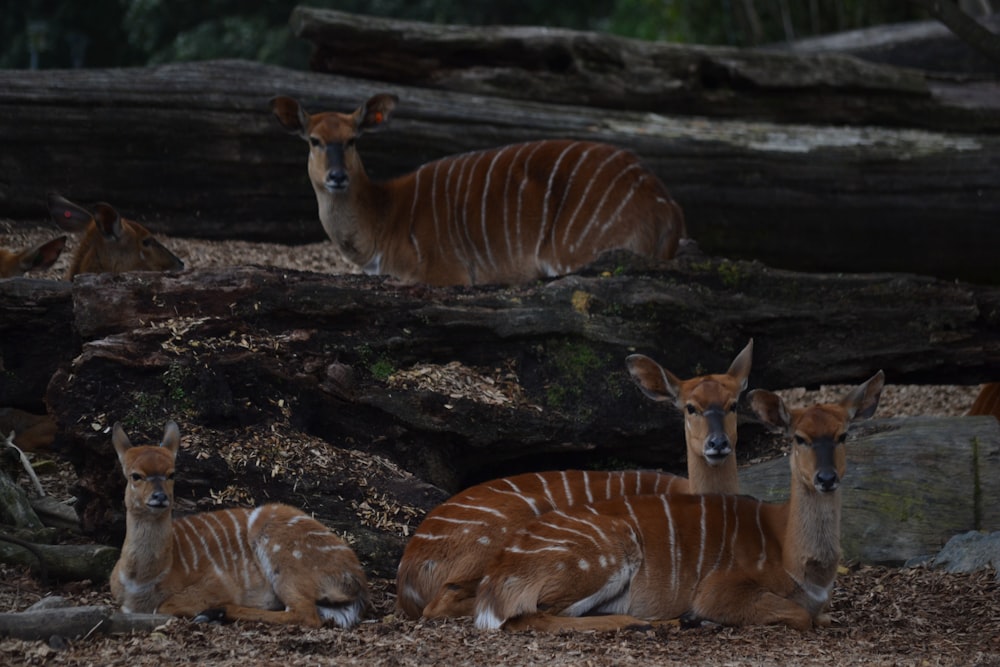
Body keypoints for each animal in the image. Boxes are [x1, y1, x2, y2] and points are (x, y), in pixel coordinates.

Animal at [112, 420, 372, 628]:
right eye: (135, 475)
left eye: (172, 474)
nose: (159, 497)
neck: (142, 580)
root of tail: (356, 579)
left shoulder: (218, 584)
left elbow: (167, 606)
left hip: (284, 560)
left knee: (305, 614)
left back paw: (215, 613)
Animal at [270, 94, 684, 288]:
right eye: (314, 140)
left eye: (353, 139)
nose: (337, 176)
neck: (383, 220)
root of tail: (667, 206)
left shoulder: (444, 272)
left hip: (573, 251)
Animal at [474, 368, 884, 636]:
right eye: (799, 438)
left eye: (843, 435)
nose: (826, 478)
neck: (795, 557)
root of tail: (494, 581)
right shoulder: (719, 589)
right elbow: (800, 616)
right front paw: (698, 617)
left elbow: (821, 617)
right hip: (601, 560)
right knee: (528, 617)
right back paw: (650, 623)